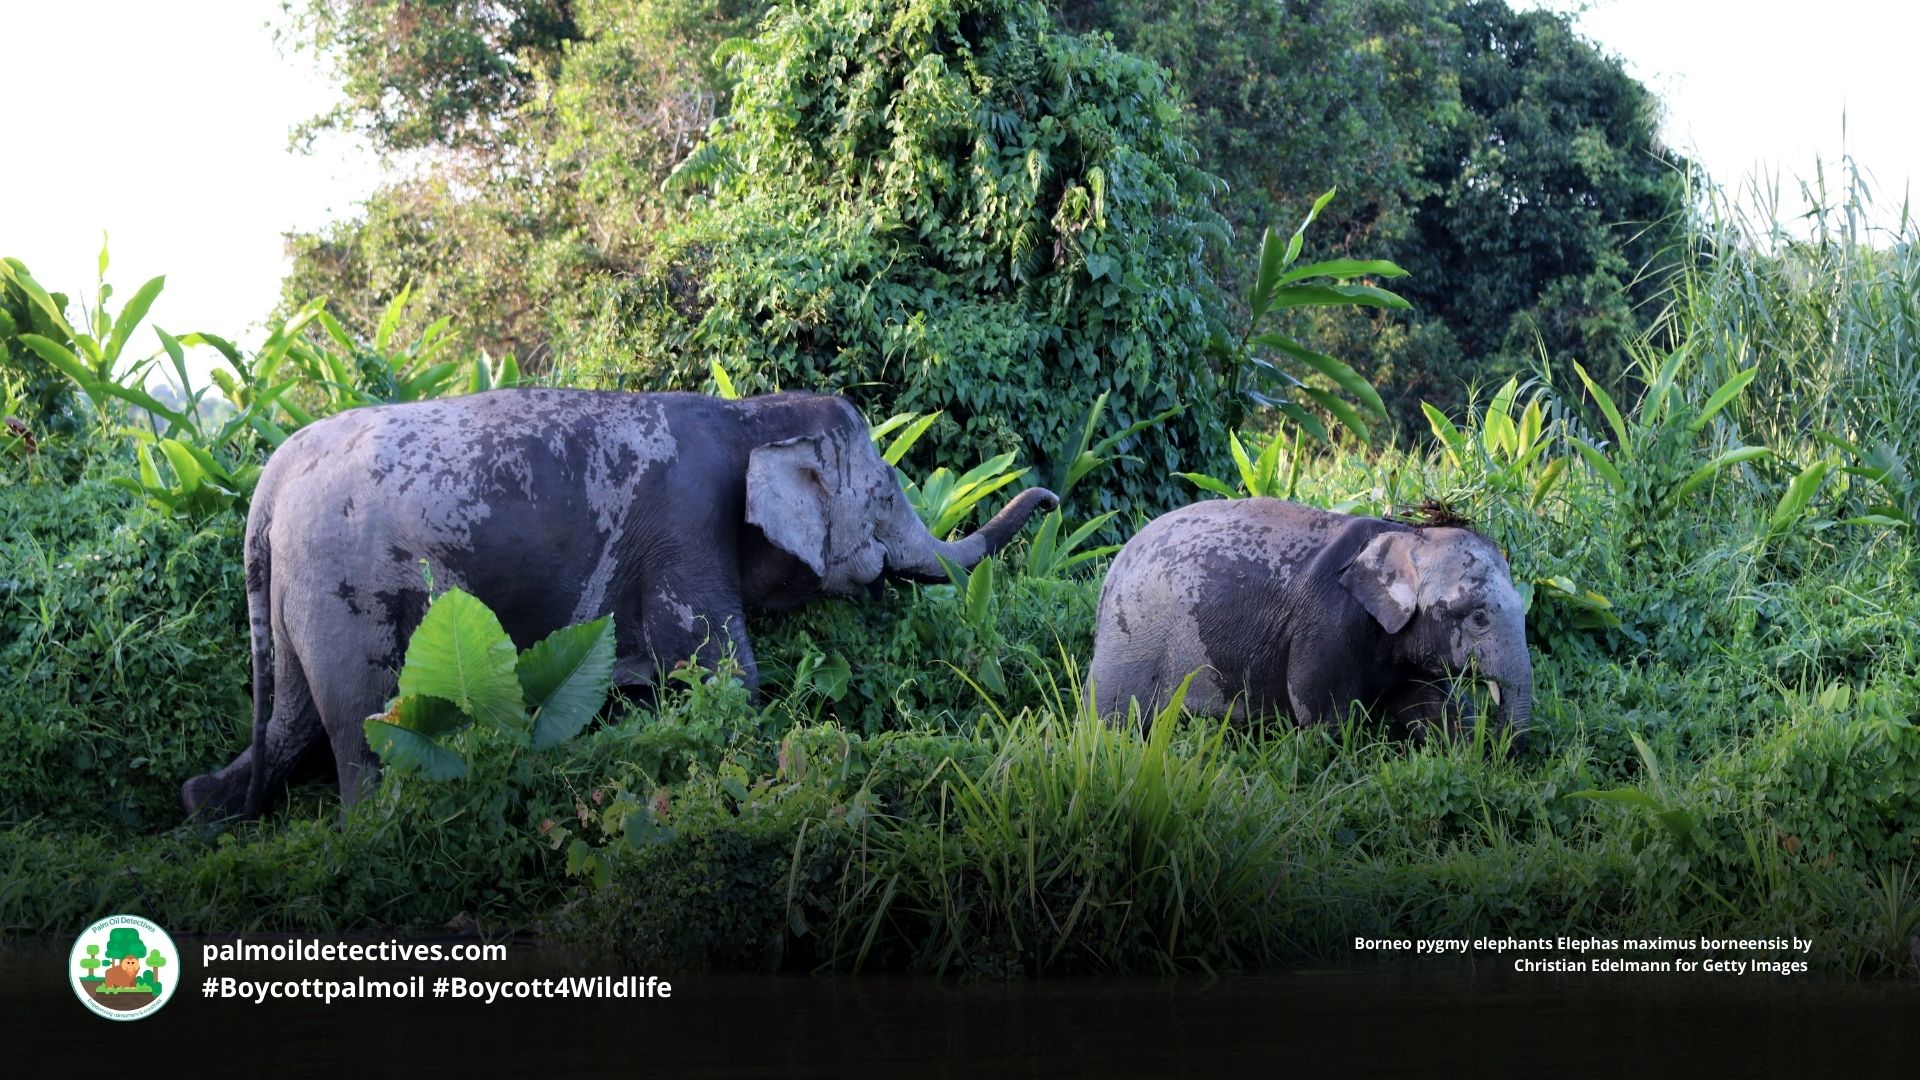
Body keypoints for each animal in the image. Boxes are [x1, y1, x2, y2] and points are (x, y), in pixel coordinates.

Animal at [181, 388, 1058, 820]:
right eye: (883, 498)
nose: (1048, 494)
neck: (752, 412)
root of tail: (271, 479)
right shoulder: (685, 526)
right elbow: (723, 677)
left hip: (300, 593)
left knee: (292, 720)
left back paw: (205, 807)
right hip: (350, 586)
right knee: (368, 728)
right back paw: (384, 838)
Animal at [1086, 498, 1532, 747]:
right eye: (1478, 617)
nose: (1502, 749)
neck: (1406, 534)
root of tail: (1111, 573)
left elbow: (1428, 708)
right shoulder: (1327, 620)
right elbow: (1322, 713)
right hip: (1131, 638)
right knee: (1112, 717)